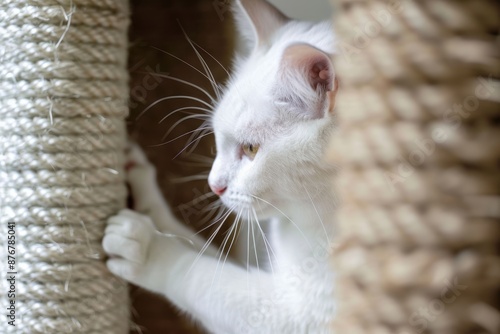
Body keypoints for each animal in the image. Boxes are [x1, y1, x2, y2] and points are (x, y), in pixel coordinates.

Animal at [103, 1, 338, 332]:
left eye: (251, 149)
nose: (214, 186)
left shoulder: (299, 316)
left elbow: (201, 276)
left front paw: (149, 249)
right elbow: (199, 248)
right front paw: (141, 187)